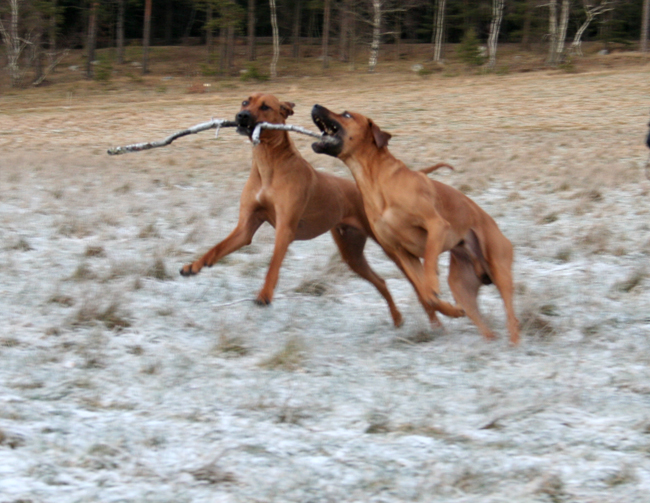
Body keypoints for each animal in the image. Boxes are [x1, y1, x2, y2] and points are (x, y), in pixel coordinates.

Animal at [177, 93, 410, 324]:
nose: (242, 115)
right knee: (380, 281)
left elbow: (273, 264)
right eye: (245, 102)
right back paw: (397, 318)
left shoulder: (285, 228)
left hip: (390, 247)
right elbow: (217, 247)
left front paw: (265, 294)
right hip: (351, 253)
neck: (268, 164)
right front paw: (194, 265)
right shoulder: (245, 227)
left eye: (265, 106)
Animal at [312, 104, 520, 344]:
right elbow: (425, 294)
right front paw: (449, 309)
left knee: (511, 315)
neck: (377, 181)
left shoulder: (436, 225)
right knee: (482, 322)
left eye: (347, 114)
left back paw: (513, 345)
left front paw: (433, 286)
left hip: (499, 267)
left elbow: (429, 261)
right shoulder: (401, 252)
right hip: (461, 286)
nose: (315, 106)